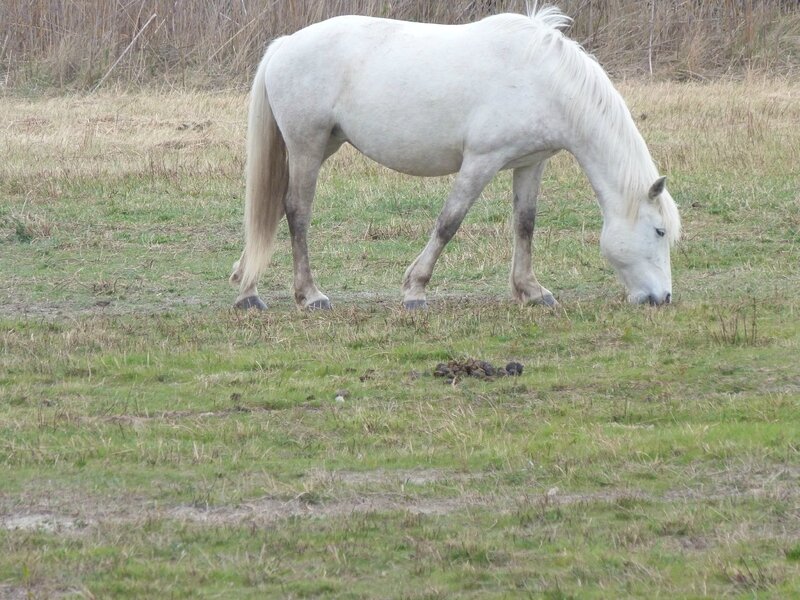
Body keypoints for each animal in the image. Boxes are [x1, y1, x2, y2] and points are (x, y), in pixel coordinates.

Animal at [228, 4, 680, 312]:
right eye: (659, 231)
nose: (662, 297)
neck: (544, 80)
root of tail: (285, 45)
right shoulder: (481, 161)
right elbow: (449, 222)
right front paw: (415, 290)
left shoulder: (530, 163)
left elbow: (525, 225)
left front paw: (531, 290)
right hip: (306, 146)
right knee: (296, 211)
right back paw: (309, 295)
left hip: (323, 145)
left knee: (271, 212)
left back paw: (247, 287)